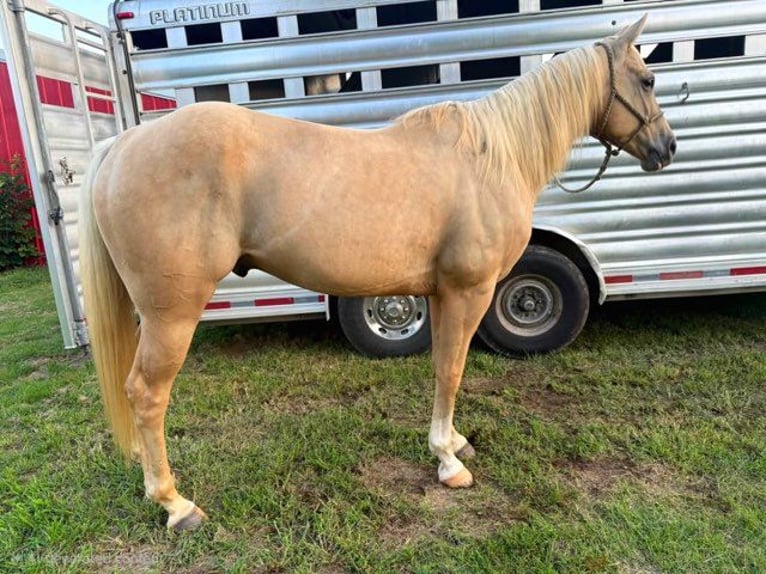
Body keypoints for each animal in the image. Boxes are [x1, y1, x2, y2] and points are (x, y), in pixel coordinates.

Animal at [79, 15, 675, 530]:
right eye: (647, 79)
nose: (667, 147)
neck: (489, 159)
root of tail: (124, 143)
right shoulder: (469, 291)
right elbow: (451, 370)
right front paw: (449, 463)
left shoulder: (440, 294)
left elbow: (441, 367)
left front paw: (452, 442)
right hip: (171, 314)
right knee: (146, 394)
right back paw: (174, 504)